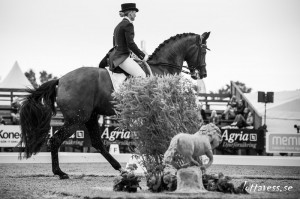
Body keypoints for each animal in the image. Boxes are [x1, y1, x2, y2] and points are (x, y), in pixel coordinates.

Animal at [18, 31, 211, 180]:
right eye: (203, 50)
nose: (203, 73)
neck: (162, 69)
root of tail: (61, 80)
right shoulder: (159, 112)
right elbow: (168, 136)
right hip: (76, 119)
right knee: (55, 140)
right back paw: (61, 173)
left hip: (90, 117)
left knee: (97, 143)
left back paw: (121, 169)